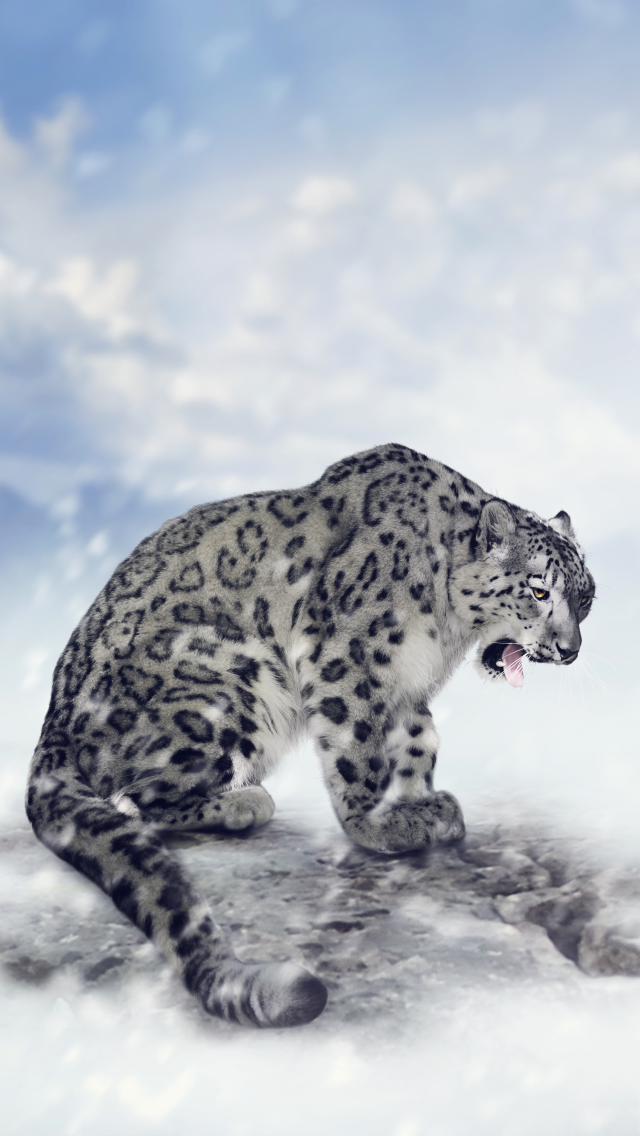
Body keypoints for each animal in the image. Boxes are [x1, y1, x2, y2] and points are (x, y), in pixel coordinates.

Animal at [26, 443, 596, 1028]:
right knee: (134, 797)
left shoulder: (405, 684)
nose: (569, 650)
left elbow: (419, 739)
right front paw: (378, 822)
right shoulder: (347, 652)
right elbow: (359, 747)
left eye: (586, 597)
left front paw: (423, 802)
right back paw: (244, 802)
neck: (448, 631)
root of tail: (53, 725)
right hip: (232, 683)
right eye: (538, 589)